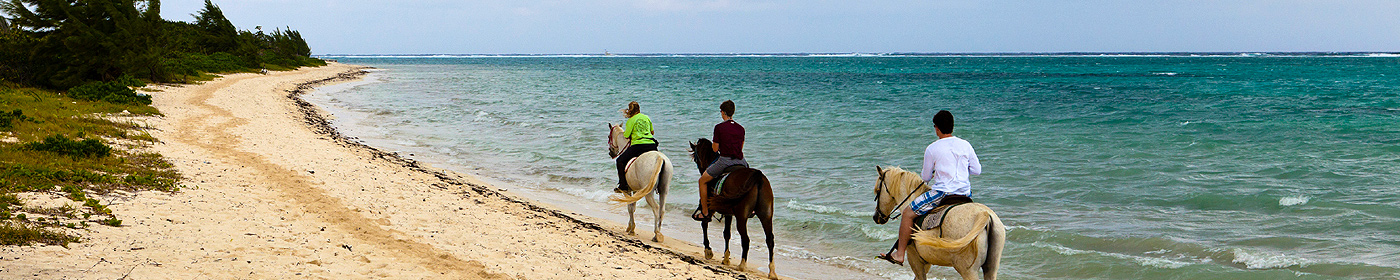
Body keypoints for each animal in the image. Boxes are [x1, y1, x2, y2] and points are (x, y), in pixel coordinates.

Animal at [686, 138, 778, 280]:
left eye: (695, 158)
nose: (701, 169)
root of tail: (758, 176)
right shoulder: (728, 213)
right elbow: (726, 234)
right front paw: (726, 258)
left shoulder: (710, 208)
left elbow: (705, 224)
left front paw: (708, 250)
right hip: (766, 215)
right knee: (770, 240)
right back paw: (772, 271)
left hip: (742, 216)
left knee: (746, 239)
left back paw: (742, 265)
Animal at [868, 166, 1002, 280]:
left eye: (877, 191)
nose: (876, 217)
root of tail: (984, 215)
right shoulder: (926, 263)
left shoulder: (915, 260)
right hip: (991, 268)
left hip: (968, 271)